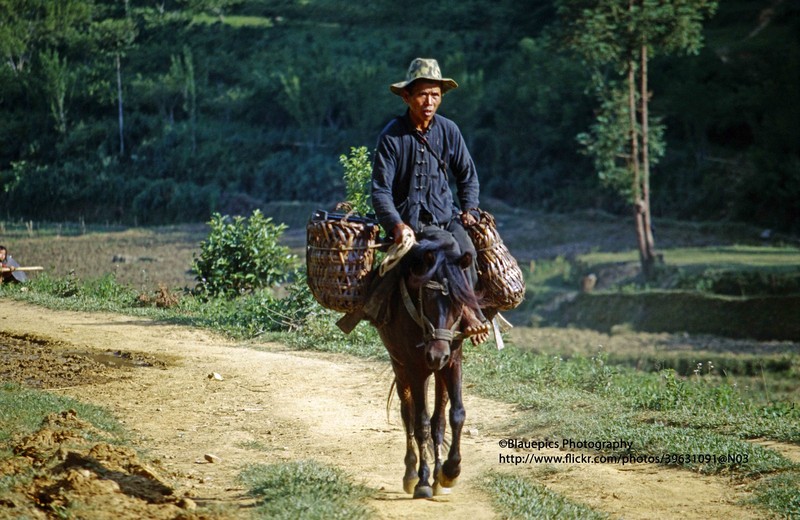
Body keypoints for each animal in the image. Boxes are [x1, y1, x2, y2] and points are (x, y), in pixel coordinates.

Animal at [374, 233, 484, 500]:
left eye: (460, 302)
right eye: (426, 298)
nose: (436, 355)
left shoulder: (453, 362)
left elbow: (456, 415)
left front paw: (450, 471)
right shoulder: (415, 368)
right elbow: (420, 423)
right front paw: (423, 482)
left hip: (438, 372)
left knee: (438, 420)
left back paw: (438, 477)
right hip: (401, 366)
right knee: (408, 415)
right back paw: (412, 474)